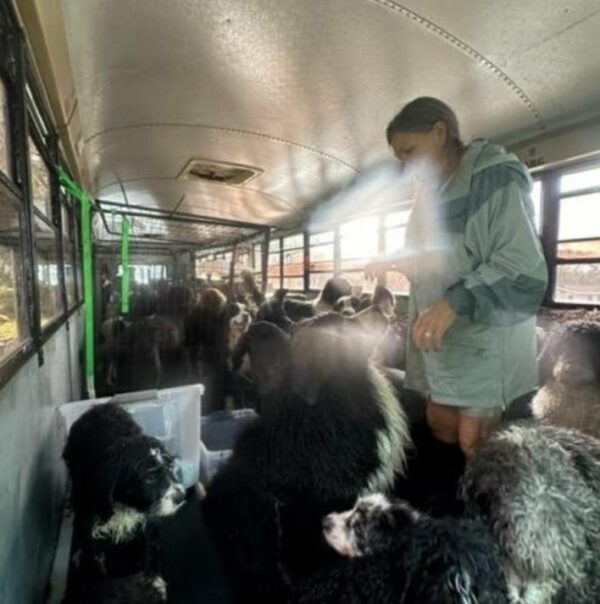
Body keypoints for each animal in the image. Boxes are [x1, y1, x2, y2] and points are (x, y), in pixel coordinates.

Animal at [63, 404, 185, 580]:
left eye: (170, 467)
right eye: (149, 477)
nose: (181, 497)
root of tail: (99, 406)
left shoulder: (147, 522)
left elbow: (147, 552)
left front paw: (152, 579)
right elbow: (94, 554)